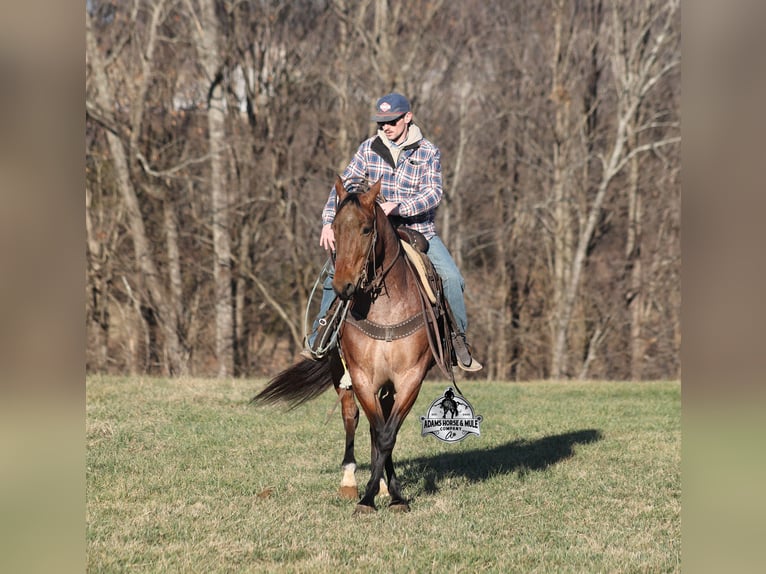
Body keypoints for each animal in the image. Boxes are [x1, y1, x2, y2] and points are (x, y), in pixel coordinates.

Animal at [253, 176, 436, 514]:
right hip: (343, 374)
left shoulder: (410, 379)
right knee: (352, 417)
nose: (343, 286)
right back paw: (350, 482)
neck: (386, 309)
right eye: (335, 228)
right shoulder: (362, 376)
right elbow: (376, 430)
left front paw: (393, 494)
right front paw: (366, 497)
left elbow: (387, 434)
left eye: (366, 229)